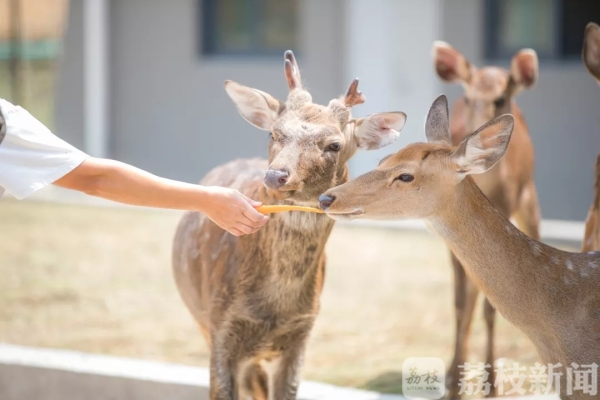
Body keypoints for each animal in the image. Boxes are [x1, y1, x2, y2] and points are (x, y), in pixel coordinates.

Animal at [172, 50, 408, 400]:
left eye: (334, 145)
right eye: (273, 133)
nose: (275, 175)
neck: (275, 307)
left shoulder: (301, 334)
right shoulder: (219, 325)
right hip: (199, 318)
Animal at [428, 39, 540, 396]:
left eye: (500, 98)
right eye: (468, 98)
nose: (472, 139)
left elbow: (491, 305)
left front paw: (491, 382)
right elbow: (460, 301)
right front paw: (454, 381)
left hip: (530, 200)